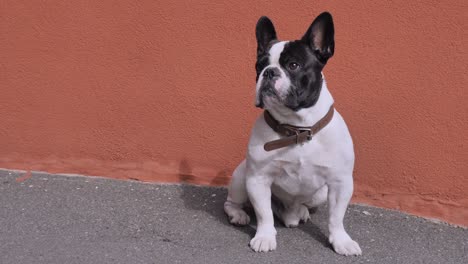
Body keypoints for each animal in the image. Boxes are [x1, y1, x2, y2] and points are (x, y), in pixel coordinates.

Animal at [223, 12, 362, 256]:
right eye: (259, 66)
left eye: (293, 65)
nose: (269, 72)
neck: (298, 128)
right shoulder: (258, 179)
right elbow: (264, 214)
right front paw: (265, 237)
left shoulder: (341, 182)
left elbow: (336, 217)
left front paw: (341, 240)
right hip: (242, 177)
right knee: (235, 203)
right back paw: (239, 214)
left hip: (320, 194)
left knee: (298, 206)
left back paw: (300, 212)